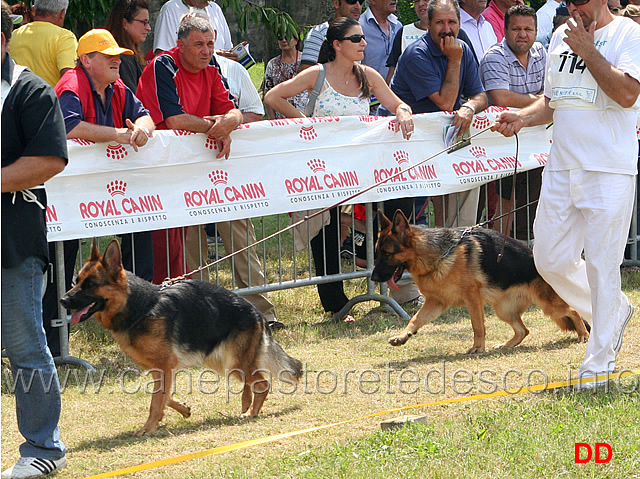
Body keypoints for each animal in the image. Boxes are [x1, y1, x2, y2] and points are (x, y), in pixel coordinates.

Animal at [61, 239, 302, 436]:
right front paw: (183, 410)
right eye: (77, 281)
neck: (140, 308)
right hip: (225, 363)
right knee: (251, 384)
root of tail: (256, 311)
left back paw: (251, 413)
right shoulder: (161, 369)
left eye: (90, 284)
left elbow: (157, 400)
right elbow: (163, 396)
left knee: (262, 384)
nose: (63, 300)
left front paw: (148, 428)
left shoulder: (165, 365)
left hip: (234, 363)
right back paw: (246, 407)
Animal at [370, 212, 592, 354]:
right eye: (377, 253)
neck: (439, 254)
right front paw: (403, 336)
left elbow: (477, 325)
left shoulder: (472, 298)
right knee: (523, 330)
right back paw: (506, 345)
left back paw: (583, 335)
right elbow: (415, 320)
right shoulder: (436, 303)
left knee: (573, 311)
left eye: (387, 254)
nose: (372, 278)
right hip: (503, 309)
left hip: (548, 305)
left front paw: (478, 348)